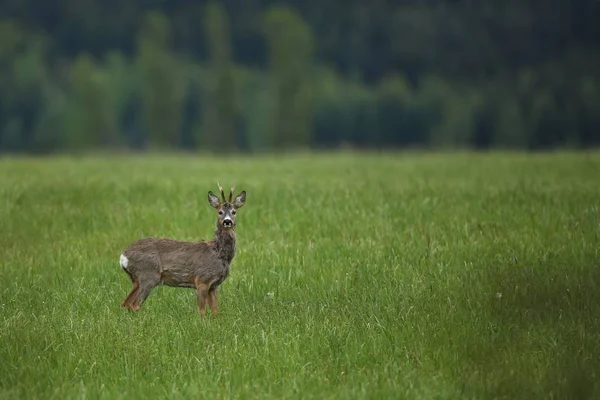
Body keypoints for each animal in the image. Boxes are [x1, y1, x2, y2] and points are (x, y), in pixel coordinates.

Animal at [119, 183, 246, 318]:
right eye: (220, 212)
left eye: (234, 212)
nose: (227, 221)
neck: (219, 254)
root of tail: (123, 256)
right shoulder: (202, 279)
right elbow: (202, 310)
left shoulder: (213, 285)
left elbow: (215, 311)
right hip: (148, 275)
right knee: (135, 304)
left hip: (136, 279)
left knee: (125, 303)